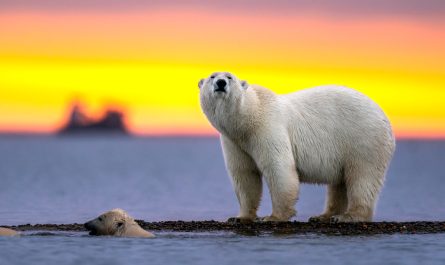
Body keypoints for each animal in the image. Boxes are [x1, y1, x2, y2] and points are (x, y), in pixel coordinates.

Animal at [199, 71, 394, 222]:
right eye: (212, 76)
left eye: (229, 77)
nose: (221, 83)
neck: (248, 118)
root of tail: (384, 117)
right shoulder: (234, 142)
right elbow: (245, 175)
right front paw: (240, 217)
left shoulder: (267, 128)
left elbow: (278, 168)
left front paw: (273, 217)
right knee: (340, 183)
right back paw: (323, 216)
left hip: (363, 138)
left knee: (362, 176)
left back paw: (348, 216)